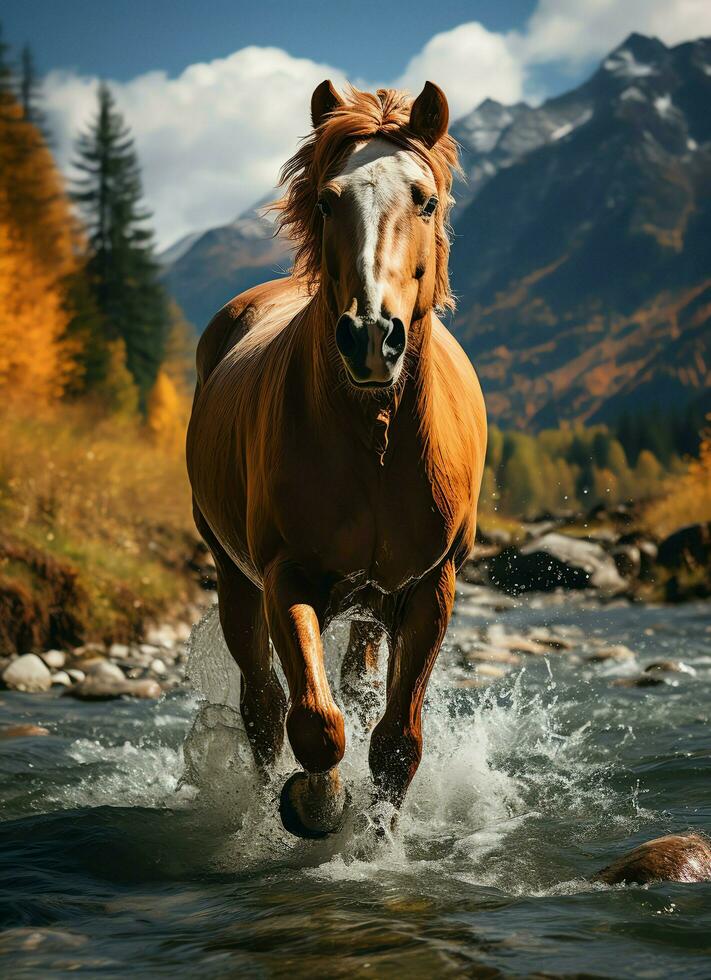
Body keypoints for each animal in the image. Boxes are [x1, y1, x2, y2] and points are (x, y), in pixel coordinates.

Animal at [186, 80, 486, 840]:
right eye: (327, 200)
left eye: (424, 199)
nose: (371, 337)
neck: (374, 442)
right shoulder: (285, 576)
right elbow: (316, 726)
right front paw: (316, 802)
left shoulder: (430, 587)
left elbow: (396, 740)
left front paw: (378, 837)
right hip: (235, 580)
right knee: (264, 706)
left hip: (372, 604)